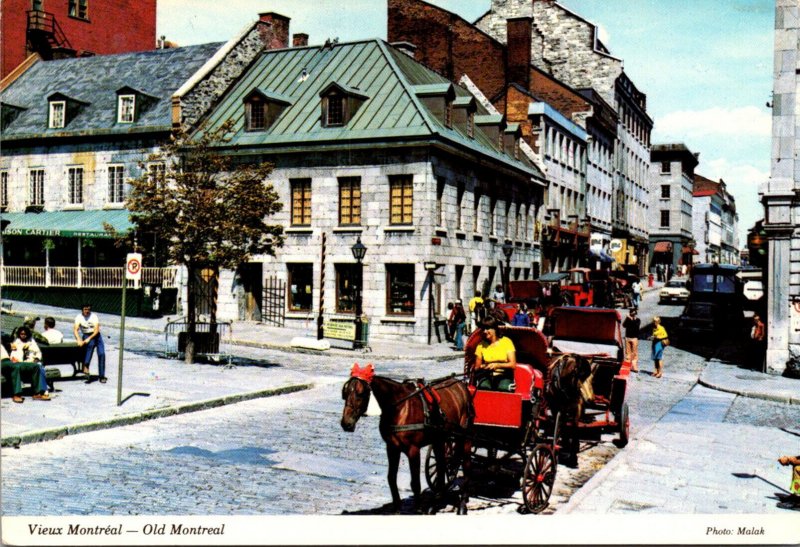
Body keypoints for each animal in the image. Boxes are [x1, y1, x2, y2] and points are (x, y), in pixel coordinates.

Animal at [340, 364, 476, 512]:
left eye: (360, 393)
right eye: (345, 393)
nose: (346, 423)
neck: (400, 408)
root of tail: (461, 385)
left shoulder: (413, 450)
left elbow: (415, 483)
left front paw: (418, 509)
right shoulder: (392, 448)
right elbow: (391, 478)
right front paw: (397, 509)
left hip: (464, 436)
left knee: (467, 465)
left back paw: (462, 503)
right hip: (439, 438)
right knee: (441, 466)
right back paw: (436, 502)